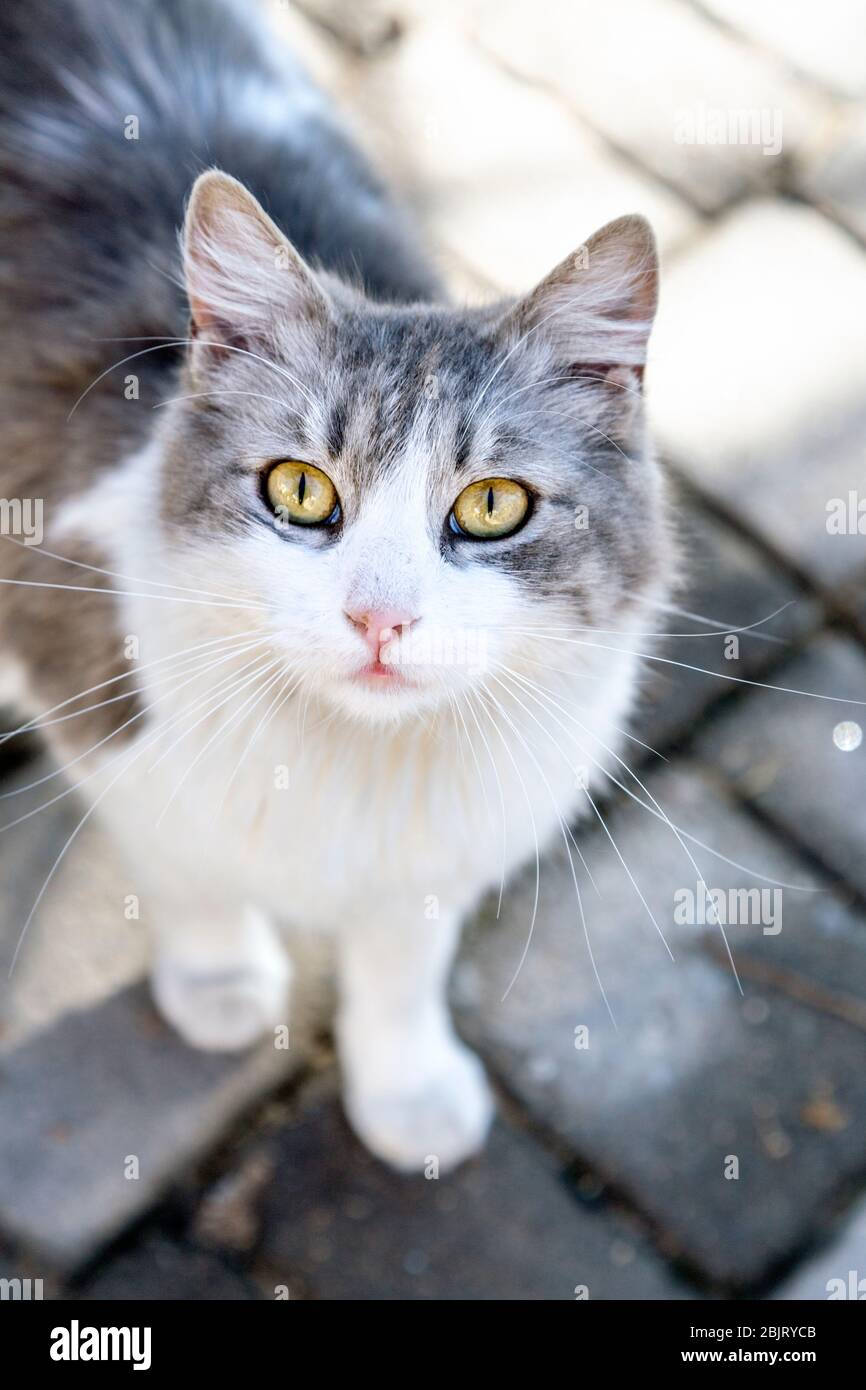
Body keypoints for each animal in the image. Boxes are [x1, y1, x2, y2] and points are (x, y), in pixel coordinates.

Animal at [0, 0, 670, 1173]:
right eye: (301, 490)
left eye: (491, 507)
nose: (379, 617)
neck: (356, 766)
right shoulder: (97, 699)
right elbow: (189, 873)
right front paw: (219, 982)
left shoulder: (442, 858)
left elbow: (402, 966)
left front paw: (406, 1094)